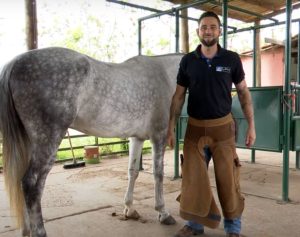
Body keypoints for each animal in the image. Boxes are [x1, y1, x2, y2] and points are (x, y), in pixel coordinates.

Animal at [0, 47, 184, 236]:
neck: (164, 75)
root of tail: (15, 63)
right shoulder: (158, 136)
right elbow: (158, 174)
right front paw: (163, 213)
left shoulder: (137, 138)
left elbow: (133, 172)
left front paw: (130, 209)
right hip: (48, 141)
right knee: (32, 184)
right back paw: (39, 231)